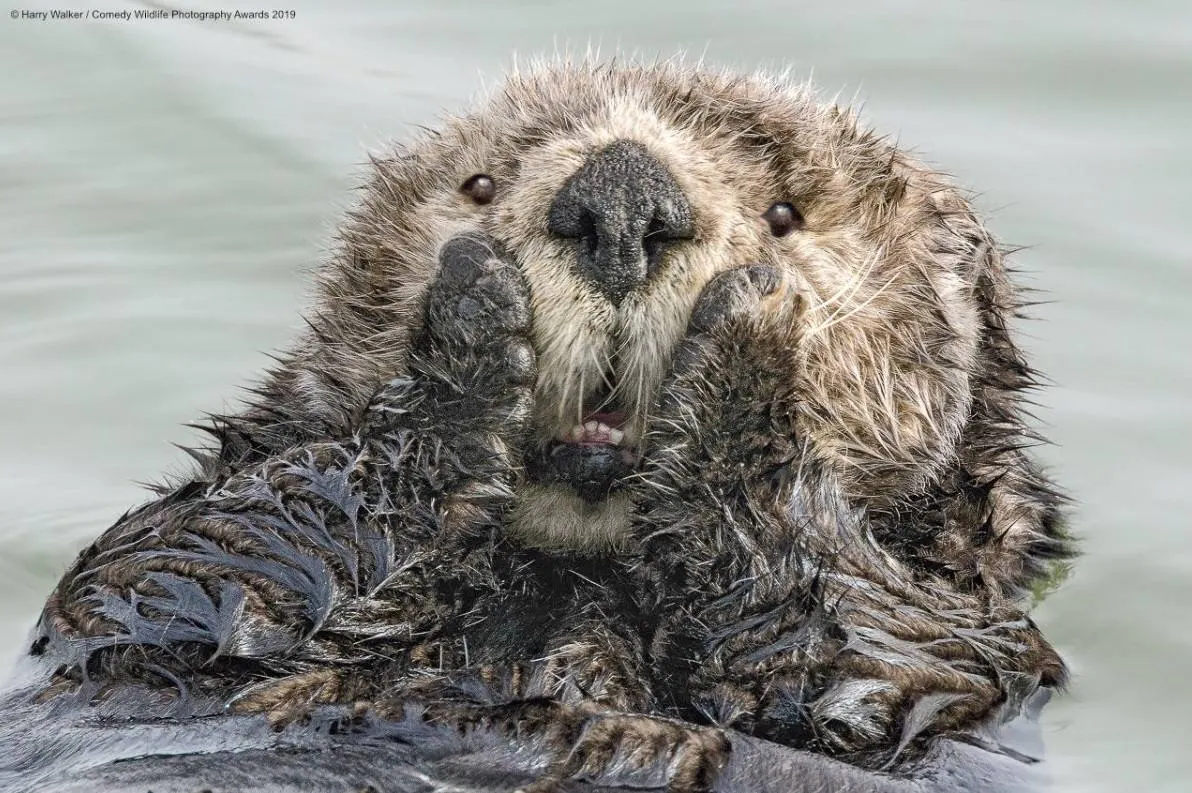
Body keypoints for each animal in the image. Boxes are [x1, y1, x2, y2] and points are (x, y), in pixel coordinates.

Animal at [2, 62, 1072, 791]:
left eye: (785, 213)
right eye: (480, 185)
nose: (622, 196)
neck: (571, 576)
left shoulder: (967, 652)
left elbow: (850, 654)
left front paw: (750, 340)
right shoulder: (139, 605)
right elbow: (179, 567)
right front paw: (471, 322)